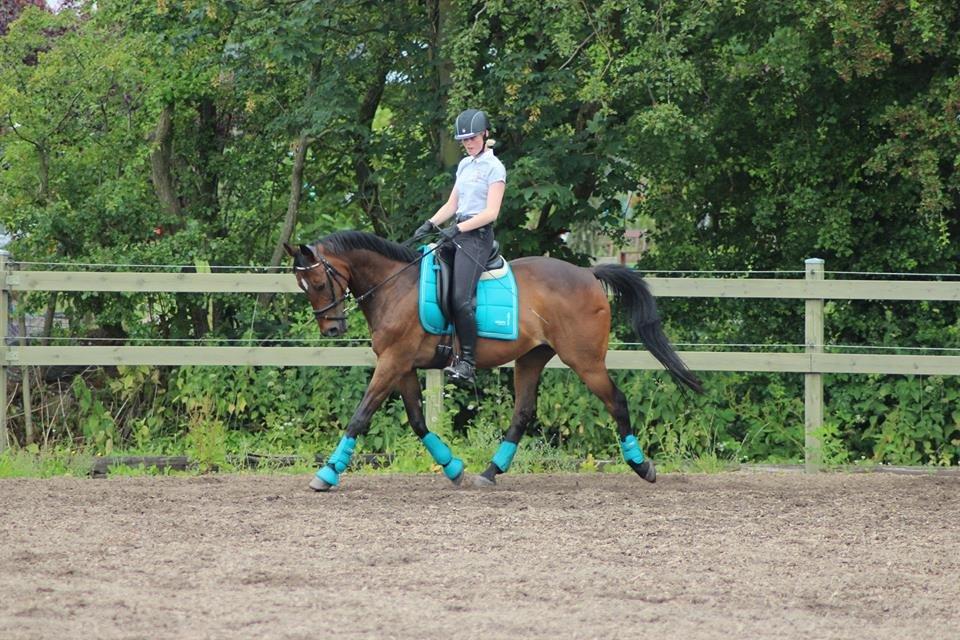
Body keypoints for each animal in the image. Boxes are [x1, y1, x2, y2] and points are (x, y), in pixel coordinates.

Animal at [284, 230, 702, 491]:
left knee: (616, 401)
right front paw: (453, 468)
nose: (332, 329)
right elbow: (418, 422)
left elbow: (361, 416)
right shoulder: (401, 365)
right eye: (304, 288)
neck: (395, 286)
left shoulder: (393, 361)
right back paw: (490, 471)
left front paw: (327, 473)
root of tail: (587, 273)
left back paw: (642, 465)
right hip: (531, 359)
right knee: (523, 413)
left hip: (585, 361)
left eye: (318, 283)